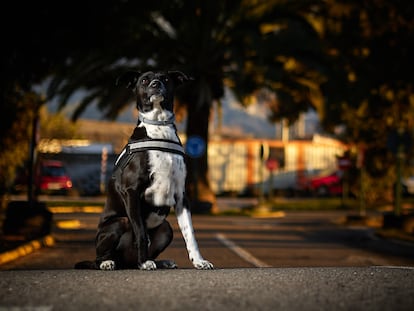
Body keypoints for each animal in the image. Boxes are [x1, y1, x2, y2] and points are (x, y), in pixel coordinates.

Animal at [75, 70, 213, 270]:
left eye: (165, 79)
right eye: (145, 80)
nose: (156, 84)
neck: (159, 127)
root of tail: (126, 262)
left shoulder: (181, 195)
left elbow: (190, 234)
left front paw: (199, 261)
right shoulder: (131, 191)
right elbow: (140, 232)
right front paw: (145, 262)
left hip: (166, 228)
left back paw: (158, 262)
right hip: (119, 222)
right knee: (100, 256)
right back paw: (110, 262)